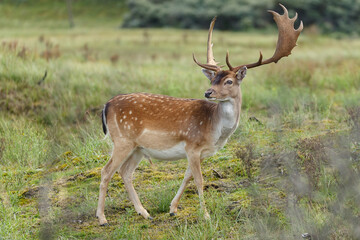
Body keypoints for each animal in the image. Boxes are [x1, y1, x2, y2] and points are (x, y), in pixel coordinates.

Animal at [97, 3, 302, 225]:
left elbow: (187, 176)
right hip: (122, 139)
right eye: (213, 79)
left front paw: (173, 209)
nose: (208, 92)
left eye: (228, 81)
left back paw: (144, 212)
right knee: (106, 171)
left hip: (138, 148)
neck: (215, 131)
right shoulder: (192, 145)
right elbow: (199, 179)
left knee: (125, 172)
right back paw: (102, 217)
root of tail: (106, 105)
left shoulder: (198, 152)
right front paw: (206, 215)